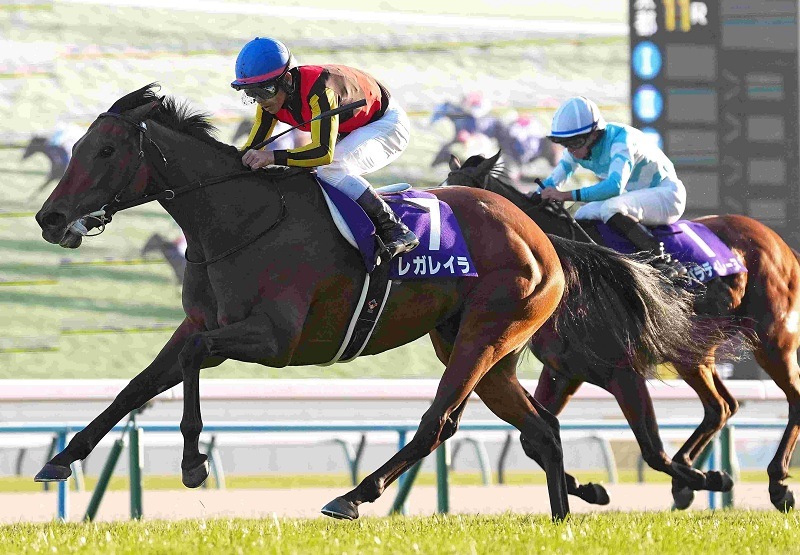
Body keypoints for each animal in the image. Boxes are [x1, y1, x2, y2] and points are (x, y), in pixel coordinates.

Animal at [33, 84, 723, 521]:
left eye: (106, 150)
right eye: (79, 148)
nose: (50, 217)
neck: (238, 220)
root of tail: (539, 234)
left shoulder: (275, 339)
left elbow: (195, 360)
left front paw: (193, 462)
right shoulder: (202, 321)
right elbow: (140, 383)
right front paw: (61, 459)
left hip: (486, 334)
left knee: (439, 423)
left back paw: (354, 495)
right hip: (484, 348)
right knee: (542, 431)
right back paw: (561, 517)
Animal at [446, 151, 800, 512]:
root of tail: (778, 242)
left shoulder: (624, 372)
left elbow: (653, 452)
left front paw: (711, 478)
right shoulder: (564, 371)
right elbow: (532, 441)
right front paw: (591, 489)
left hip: (773, 339)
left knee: (790, 399)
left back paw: (776, 483)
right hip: (693, 352)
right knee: (721, 406)